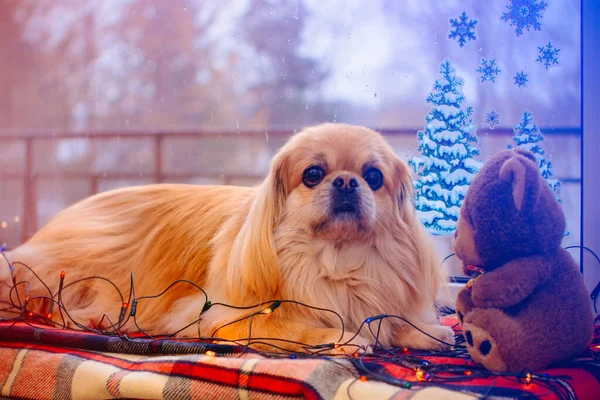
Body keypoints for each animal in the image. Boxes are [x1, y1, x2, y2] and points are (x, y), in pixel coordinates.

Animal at [1, 124, 454, 354]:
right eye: (313, 174)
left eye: (373, 177)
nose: (345, 181)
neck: (334, 259)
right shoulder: (218, 317)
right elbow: (289, 327)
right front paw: (338, 337)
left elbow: (392, 322)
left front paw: (424, 332)